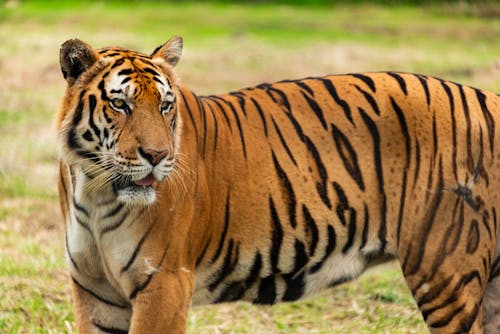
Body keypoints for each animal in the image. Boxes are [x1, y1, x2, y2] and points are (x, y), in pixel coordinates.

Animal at [56, 35, 500, 332]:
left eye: (165, 106)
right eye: (120, 104)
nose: (157, 155)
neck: (96, 194)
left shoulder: (164, 284)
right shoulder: (96, 291)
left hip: (445, 272)